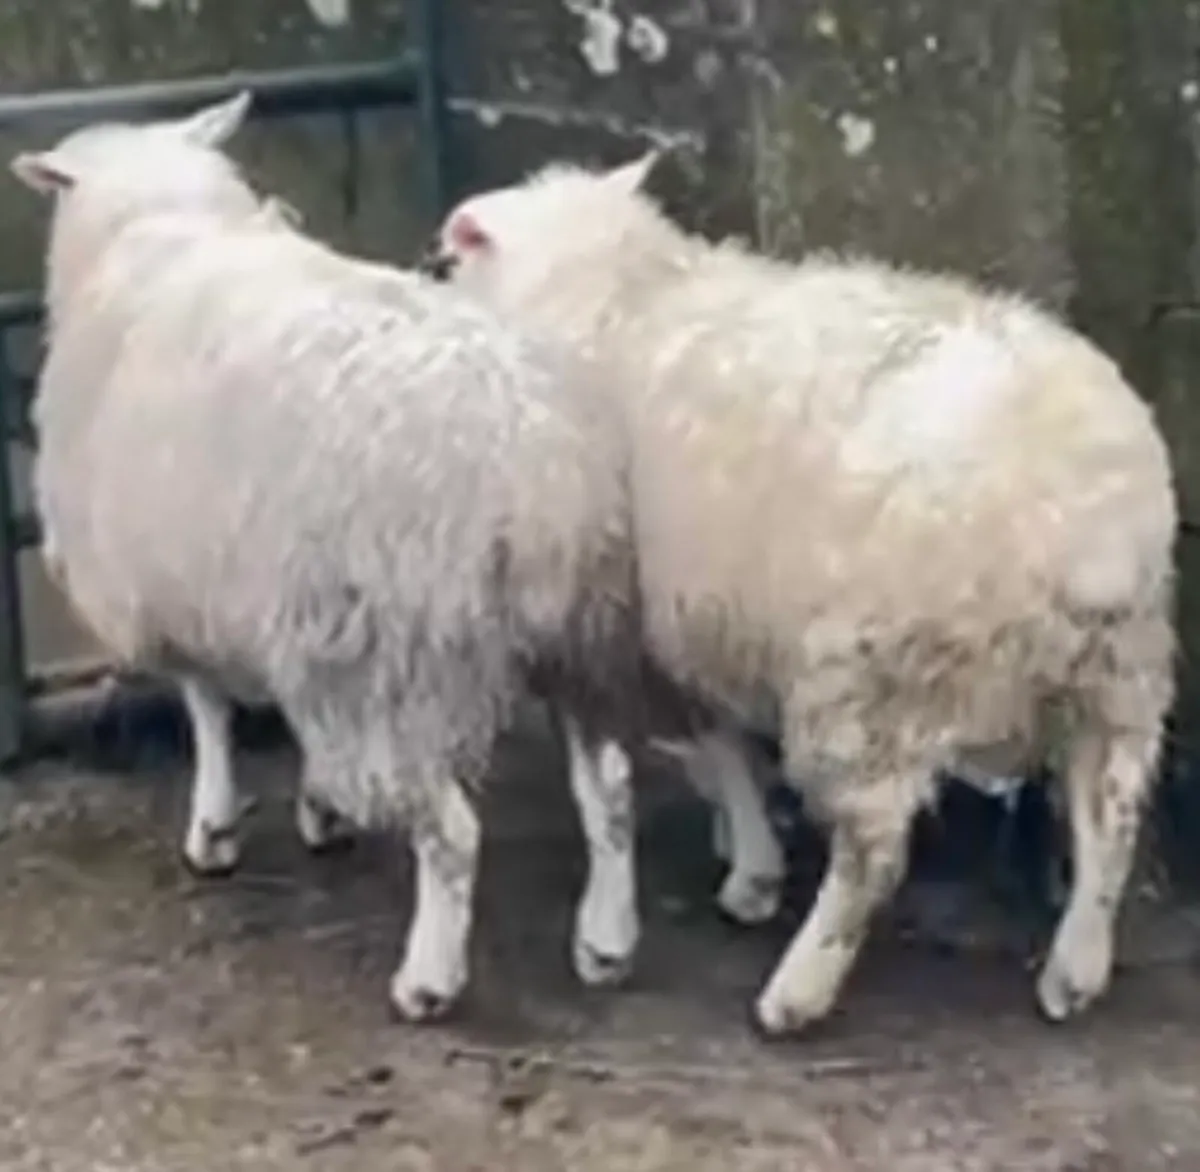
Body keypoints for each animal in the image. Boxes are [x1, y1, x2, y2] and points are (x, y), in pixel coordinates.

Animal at [10, 96, 646, 1022]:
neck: (160, 228)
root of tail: (528, 458)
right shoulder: (281, 603)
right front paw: (319, 804)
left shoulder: (185, 587)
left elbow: (207, 709)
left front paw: (216, 828)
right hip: (579, 633)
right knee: (612, 788)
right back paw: (607, 941)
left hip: (400, 654)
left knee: (452, 832)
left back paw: (428, 980)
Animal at [422, 152, 1178, 1035]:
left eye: (450, 258)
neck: (615, 294)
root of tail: (1090, 520)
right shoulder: (702, 616)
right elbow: (720, 741)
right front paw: (742, 852)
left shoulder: (648, 621)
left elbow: (709, 747)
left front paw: (750, 868)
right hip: (1121, 674)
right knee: (1110, 817)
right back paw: (1074, 972)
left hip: (875, 677)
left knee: (874, 850)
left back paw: (797, 991)